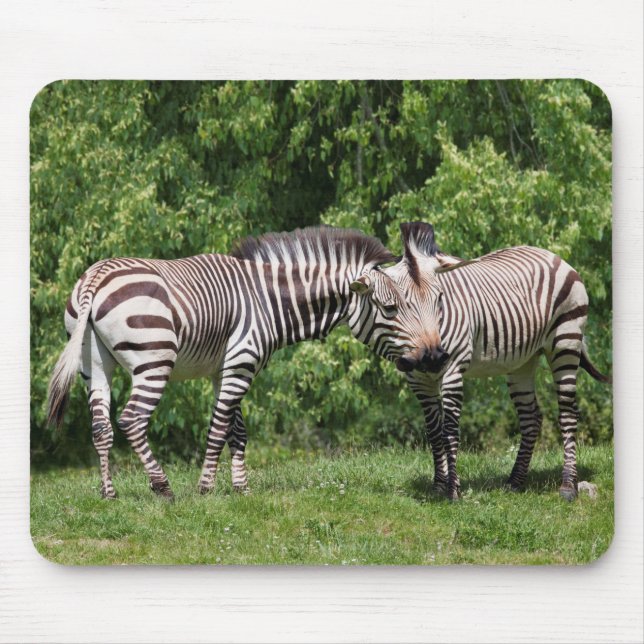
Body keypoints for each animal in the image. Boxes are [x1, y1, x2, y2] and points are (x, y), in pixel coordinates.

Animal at [47, 226, 433, 500]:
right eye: (391, 308)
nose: (427, 357)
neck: (268, 299)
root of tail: (95, 277)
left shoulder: (226, 368)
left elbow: (238, 431)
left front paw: (241, 488)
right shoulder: (242, 362)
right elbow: (219, 427)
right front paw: (206, 488)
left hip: (94, 364)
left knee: (101, 426)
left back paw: (108, 493)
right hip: (154, 360)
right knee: (132, 419)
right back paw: (163, 487)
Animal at [385, 221, 610, 501]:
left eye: (439, 299)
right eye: (397, 305)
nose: (432, 358)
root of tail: (553, 256)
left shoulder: (453, 367)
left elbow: (448, 430)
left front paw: (452, 491)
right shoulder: (417, 379)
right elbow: (434, 432)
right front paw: (438, 487)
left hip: (566, 340)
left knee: (568, 412)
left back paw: (568, 485)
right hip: (522, 361)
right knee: (531, 417)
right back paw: (515, 481)